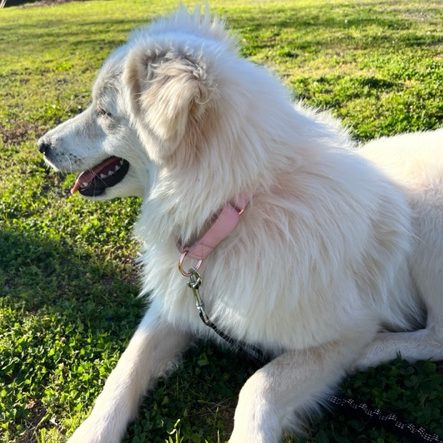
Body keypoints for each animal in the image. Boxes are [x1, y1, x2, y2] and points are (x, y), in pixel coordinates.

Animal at [38, 7, 443, 443]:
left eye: (105, 112)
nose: (41, 145)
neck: (235, 210)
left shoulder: (346, 330)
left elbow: (260, 384)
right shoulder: (179, 303)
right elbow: (126, 367)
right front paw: (92, 432)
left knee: (436, 337)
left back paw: (374, 351)